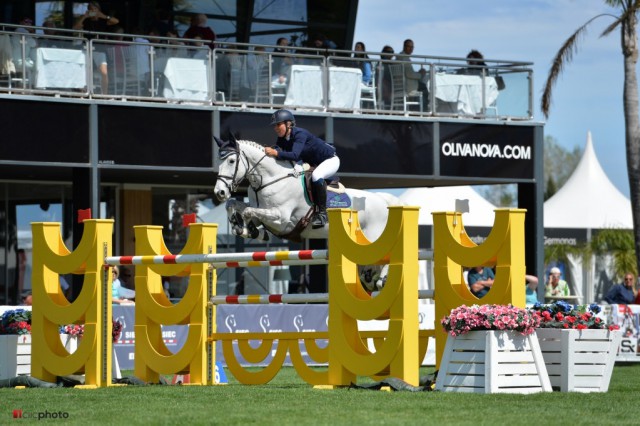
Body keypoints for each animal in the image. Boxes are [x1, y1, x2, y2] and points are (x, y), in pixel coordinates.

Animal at [215, 136, 402, 290]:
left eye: (231, 161)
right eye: (219, 161)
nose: (220, 192)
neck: (269, 180)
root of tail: (385, 201)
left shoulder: (281, 219)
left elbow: (248, 211)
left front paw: (251, 230)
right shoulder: (265, 213)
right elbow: (235, 205)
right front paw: (244, 228)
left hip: (373, 237)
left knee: (386, 255)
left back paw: (381, 280)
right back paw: (370, 278)